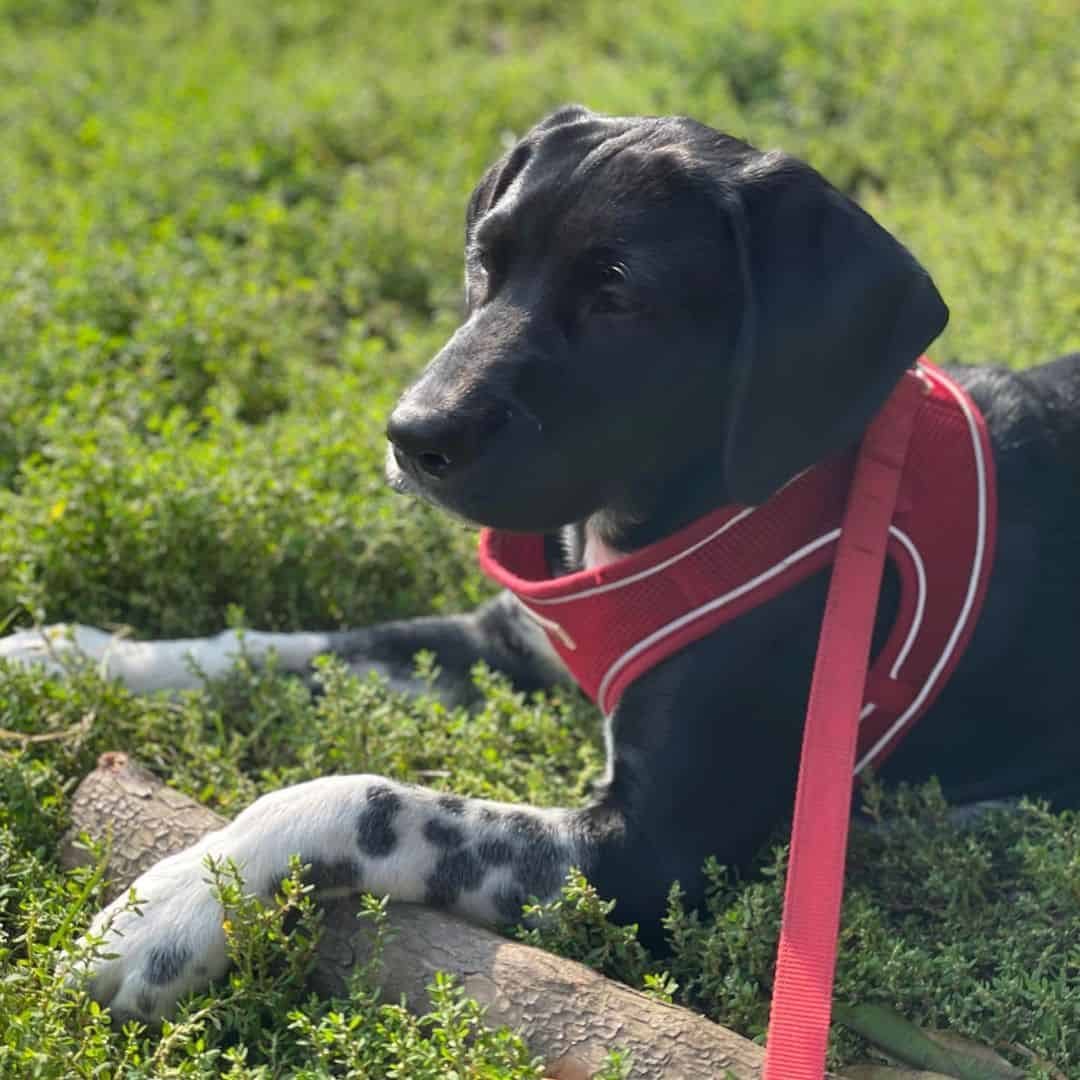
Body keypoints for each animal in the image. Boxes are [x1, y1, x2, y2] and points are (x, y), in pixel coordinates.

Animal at [2, 107, 1080, 1019]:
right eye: (484, 260)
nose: (411, 435)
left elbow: (364, 796)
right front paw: (73, 654)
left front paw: (179, 904)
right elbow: (270, 647)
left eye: (619, 292)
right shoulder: (496, 642)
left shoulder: (649, 854)